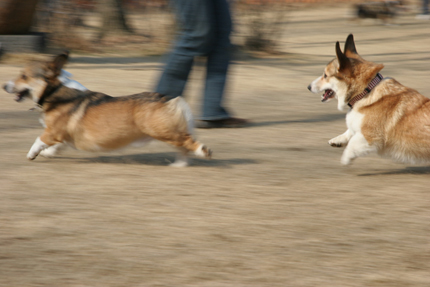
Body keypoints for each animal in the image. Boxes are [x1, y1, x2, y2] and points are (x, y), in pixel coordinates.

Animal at [3, 53, 212, 168]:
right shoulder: (62, 136)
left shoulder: (52, 131)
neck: (55, 91)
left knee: (188, 141)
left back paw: (204, 152)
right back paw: (179, 165)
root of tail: (167, 98)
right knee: (182, 148)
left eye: (23, 76)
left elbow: (38, 140)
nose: (4, 86)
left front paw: (32, 154)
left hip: (161, 131)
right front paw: (47, 154)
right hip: (166, 133)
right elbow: (55, 147)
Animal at [308, 33, 430, 166]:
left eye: (325, 75)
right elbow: (350, 131)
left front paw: (345, 159)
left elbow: (352, 144)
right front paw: (337, 140)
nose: (308, 87)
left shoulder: (370, 137)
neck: (365, 92)